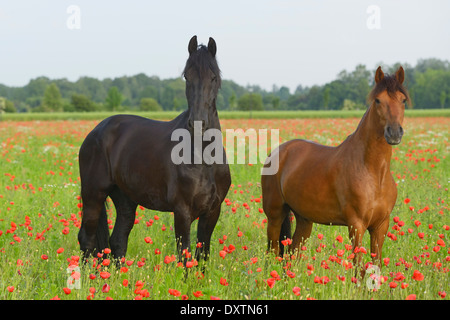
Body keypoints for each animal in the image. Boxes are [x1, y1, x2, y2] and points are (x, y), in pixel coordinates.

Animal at [77, 36, 230, 264]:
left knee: (117, 241)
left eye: (213, 77)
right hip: (93, 195)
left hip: (125, 200)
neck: (204, 158)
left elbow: (201, 255)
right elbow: (184, 256)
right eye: (187, 76)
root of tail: (96, 131)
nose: (198, 123)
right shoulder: (182, 212)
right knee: (87, 241)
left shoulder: (212, 212)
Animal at [262, 67, 410, 268]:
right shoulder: (356, 225)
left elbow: (376, 266)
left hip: (304, 219)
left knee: (292, 254)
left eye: (403, 100)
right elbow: (359, 268)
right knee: (273, 252)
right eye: (378, 100)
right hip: (275, 215)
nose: (394, 132)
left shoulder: (381, 226)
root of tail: (279, 151)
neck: (373, 172)